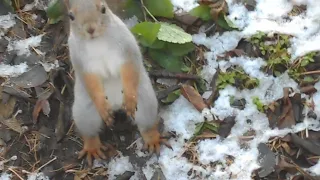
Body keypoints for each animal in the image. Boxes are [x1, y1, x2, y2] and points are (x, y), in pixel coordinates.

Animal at [63, 0, 171, 167]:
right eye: (71, 16)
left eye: (103, 9)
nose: (90, 29)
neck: (97, 41)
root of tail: (115, 105)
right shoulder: (79, 60)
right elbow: (89, 80)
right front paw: (101, 103)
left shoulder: (126, 46)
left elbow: (130, 68)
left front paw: (130, 97)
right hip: (84, 112)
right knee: (90, 132)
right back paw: (92, 147)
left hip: (145, 103)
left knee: (146, 125)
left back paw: (153, 138)